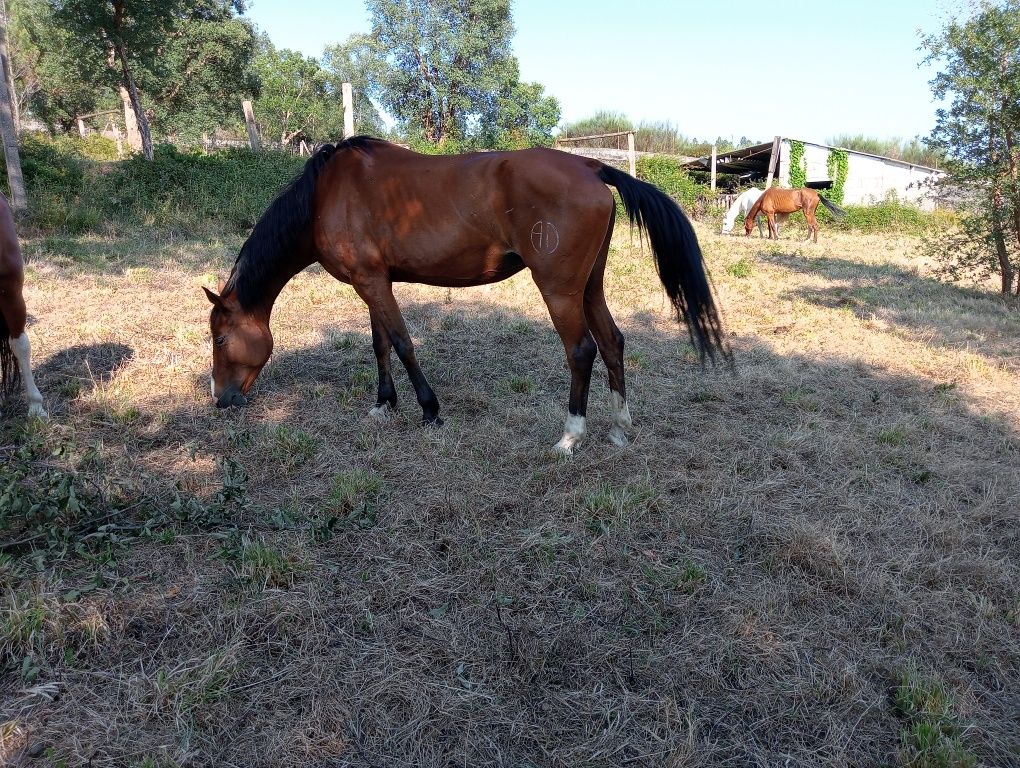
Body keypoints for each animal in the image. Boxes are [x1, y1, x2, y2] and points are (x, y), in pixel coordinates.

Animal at [202, 136, 730, 454]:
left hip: (559, 291)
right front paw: (383, 404)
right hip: (590, 288)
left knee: (582, 350)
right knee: (613, 342)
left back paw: (570, 436)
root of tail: (590, 165)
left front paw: (429, 410)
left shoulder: (372, 283)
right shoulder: (372, 282)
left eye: (220, 340)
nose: (221, 400)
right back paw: (619, 427)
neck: (325, 196)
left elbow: (403, 343)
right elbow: (380, 344)